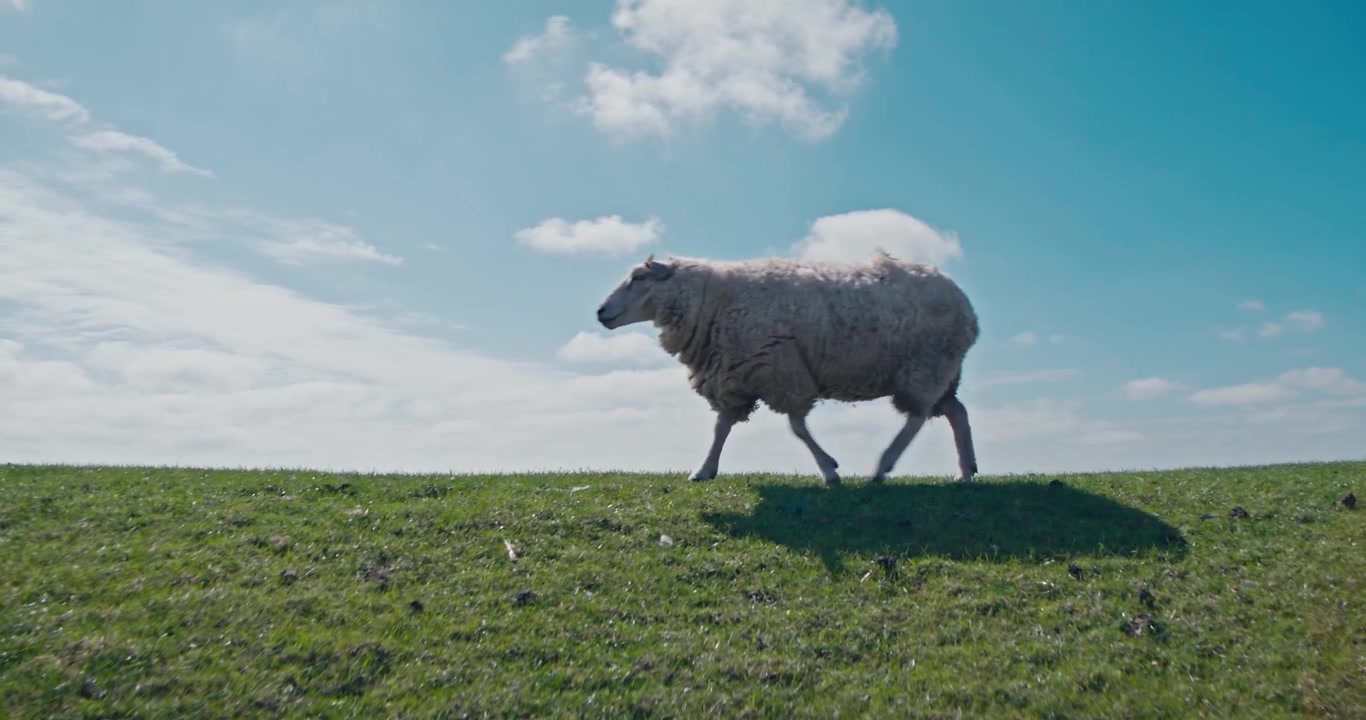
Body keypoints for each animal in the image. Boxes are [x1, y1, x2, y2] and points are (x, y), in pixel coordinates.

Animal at [594, 248, 981, 485]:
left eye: (638, 278)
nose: (600, 312)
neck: (712, 301)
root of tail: (966, 305)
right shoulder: (737, 375)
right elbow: (722, 428)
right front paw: (704, 470)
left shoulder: (781, 370)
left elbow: (797, 427)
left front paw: (829, 470)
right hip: (940, 372)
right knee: (956, 412)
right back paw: (965, 472)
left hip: (924, 366)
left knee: (917, 417)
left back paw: (882, 466)